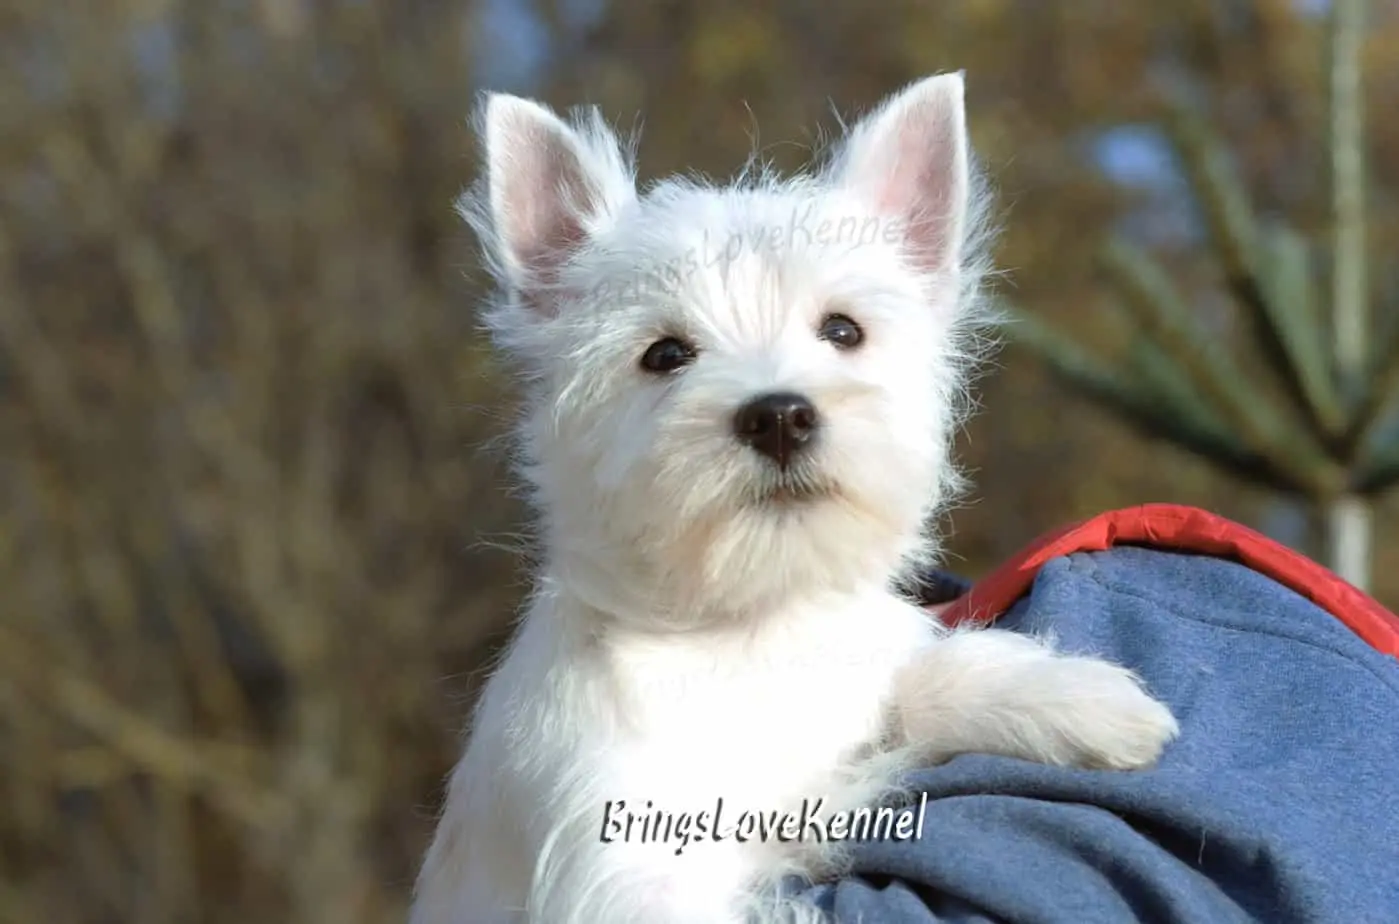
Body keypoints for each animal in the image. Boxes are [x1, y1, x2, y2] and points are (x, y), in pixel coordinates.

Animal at [411, 72, 1179, 924]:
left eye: (842, 330)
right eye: (664, 354)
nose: (778, 415)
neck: (753, 632)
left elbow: (906, 683)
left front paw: (1077, 698)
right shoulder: (629, 869)